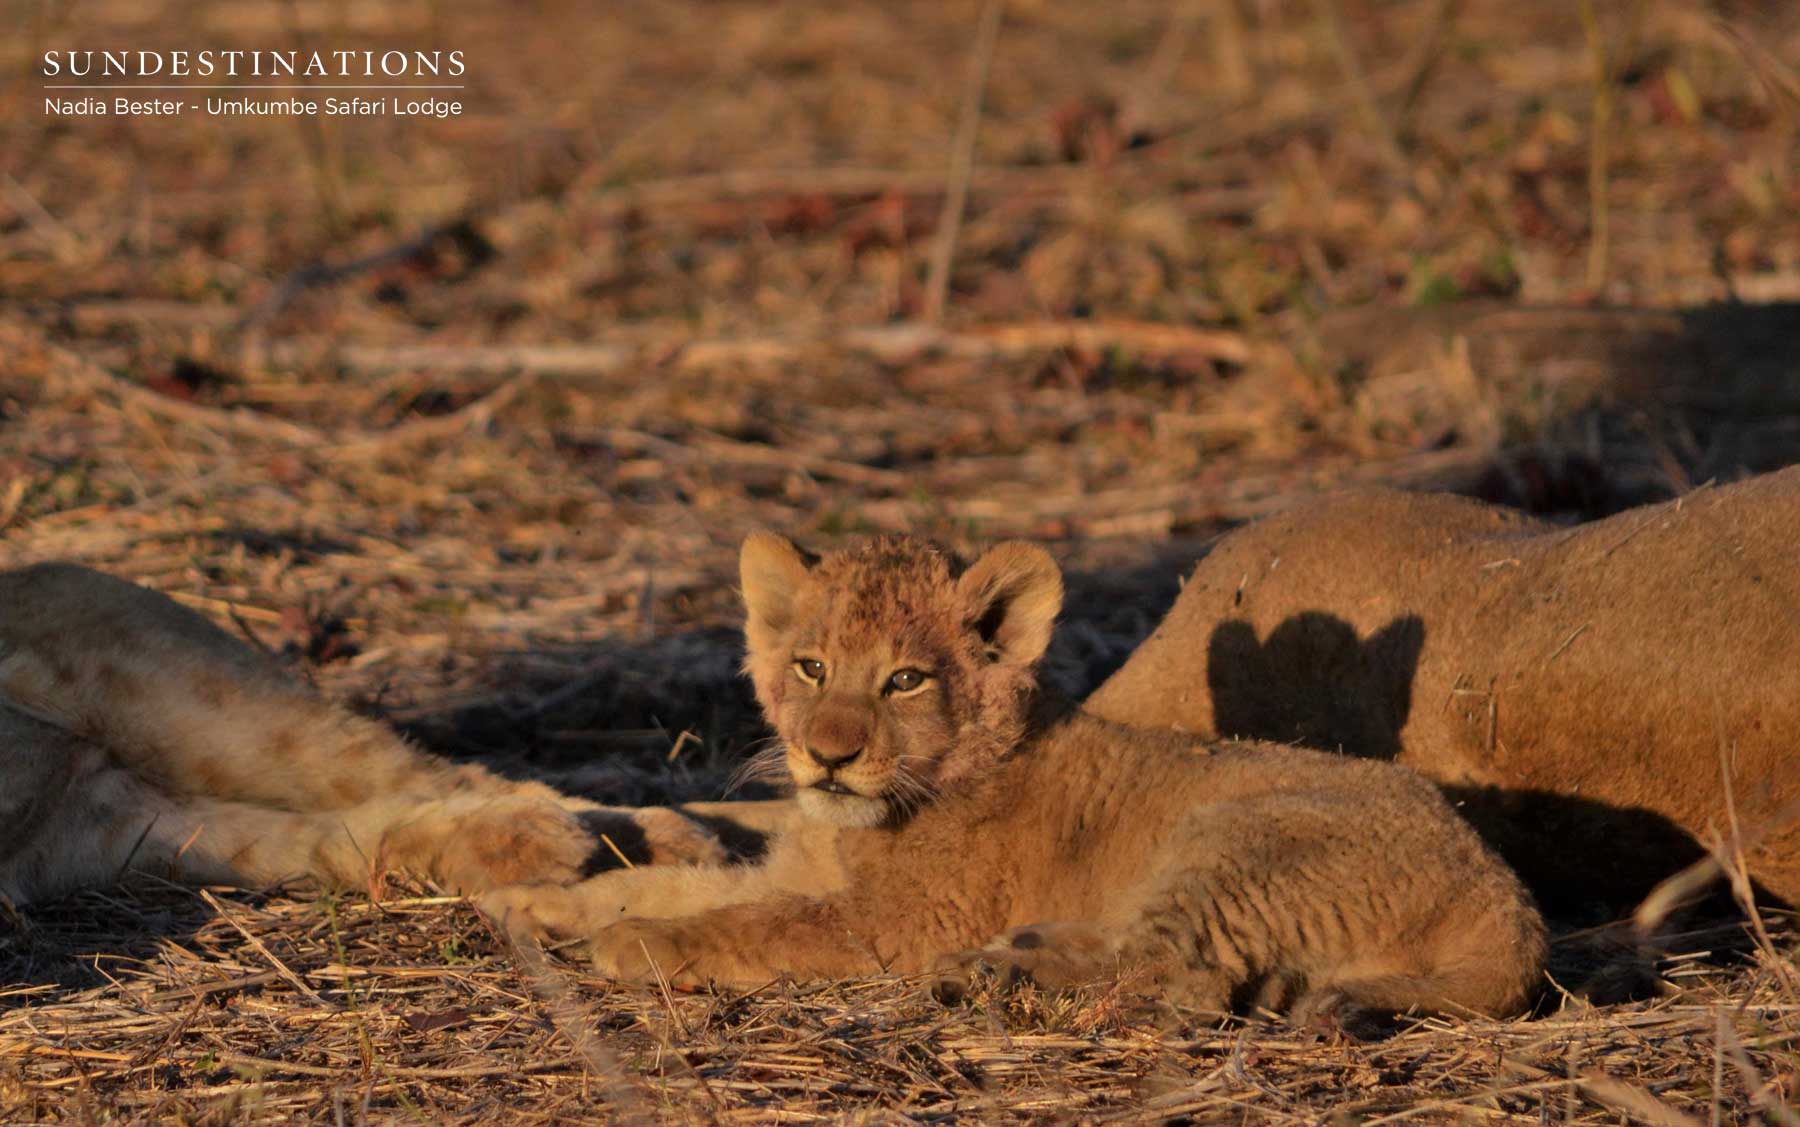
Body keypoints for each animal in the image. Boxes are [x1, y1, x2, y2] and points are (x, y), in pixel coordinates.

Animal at [0, 563, 722, 908]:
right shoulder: (93, 823)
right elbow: (311, 840)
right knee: (328, 831)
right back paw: (548, 845)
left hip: (201, 708)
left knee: (437, 775)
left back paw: (660, 838)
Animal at [481, 534, 1546, 1019]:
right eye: (812, 666)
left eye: (906, 679)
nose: (828, 753)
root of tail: (1505, 894)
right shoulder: (795, 864)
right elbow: (672, 880)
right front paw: (540, 901)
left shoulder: (893, 923)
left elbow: (755, 924)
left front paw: (643, 945)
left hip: (1234, 839)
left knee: (1183, 976)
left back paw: (993, 968)